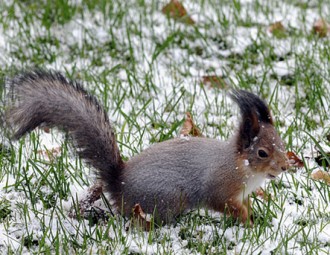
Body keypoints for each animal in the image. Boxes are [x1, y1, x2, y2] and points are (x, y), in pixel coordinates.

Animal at [2, 69, 288, 225]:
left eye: (282, 143)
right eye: (262, 153)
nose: (286, 166)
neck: (242, 166)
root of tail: (119, 184)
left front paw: (254, 216)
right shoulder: (220, 188)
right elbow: (226, 205)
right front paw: (247, 222)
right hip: (169, 197)